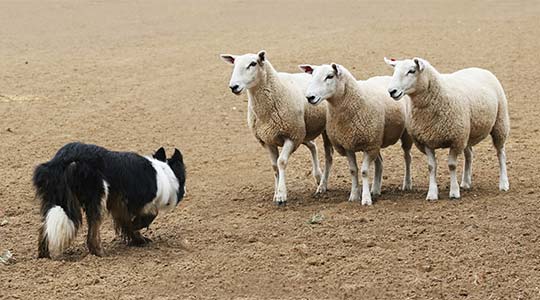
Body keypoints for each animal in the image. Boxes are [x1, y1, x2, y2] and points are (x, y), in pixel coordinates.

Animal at [33, 142, 187, 258]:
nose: (185, 191)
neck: (163, 172)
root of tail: (63, 161)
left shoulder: (119, 204)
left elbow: (127, 223)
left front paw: (139, 239)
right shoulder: (139, 201)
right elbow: (151, 214)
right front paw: (137, 227)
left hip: (55, 200)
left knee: (44, 228)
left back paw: (44, 256)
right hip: (97, 198)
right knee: (92, 234)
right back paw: (99, 253)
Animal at [220, 50, 334, 205]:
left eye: (253, 63)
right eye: (234, 64)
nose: (234, 86)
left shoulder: (291, 137)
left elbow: (281, 162)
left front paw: (281, 195)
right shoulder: (268, 139)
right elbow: (274, 167)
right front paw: (276, 192)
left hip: (318, 131)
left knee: (328, 156)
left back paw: (322, 185)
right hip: (303, 131)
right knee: (312, 146)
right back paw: (318, 176)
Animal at [300, 62, 414, 205]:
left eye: (330, 76)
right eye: (312, 75)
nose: (310, 97)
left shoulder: (369, 145)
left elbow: (364, 171)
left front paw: (365, 199)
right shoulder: (348, 144)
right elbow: (353, 170)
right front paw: (354, 195)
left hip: (402, 135)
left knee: (407, 157)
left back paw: (407, 184)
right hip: (376, 140)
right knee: (380, 163)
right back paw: (375, 189)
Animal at [386, 57, 508, 200]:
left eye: (411, 71)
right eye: (394, 70)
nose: (392, 91)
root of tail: (479, 68)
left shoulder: (455, 140)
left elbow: (452, 165)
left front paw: (454, 192)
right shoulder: (427, 140)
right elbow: (431, 167)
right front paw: (432, 193)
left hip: (500, 123)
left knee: (500, 153)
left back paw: (503, 183)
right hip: (467, 132)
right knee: (469, 155)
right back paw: (466, 182)